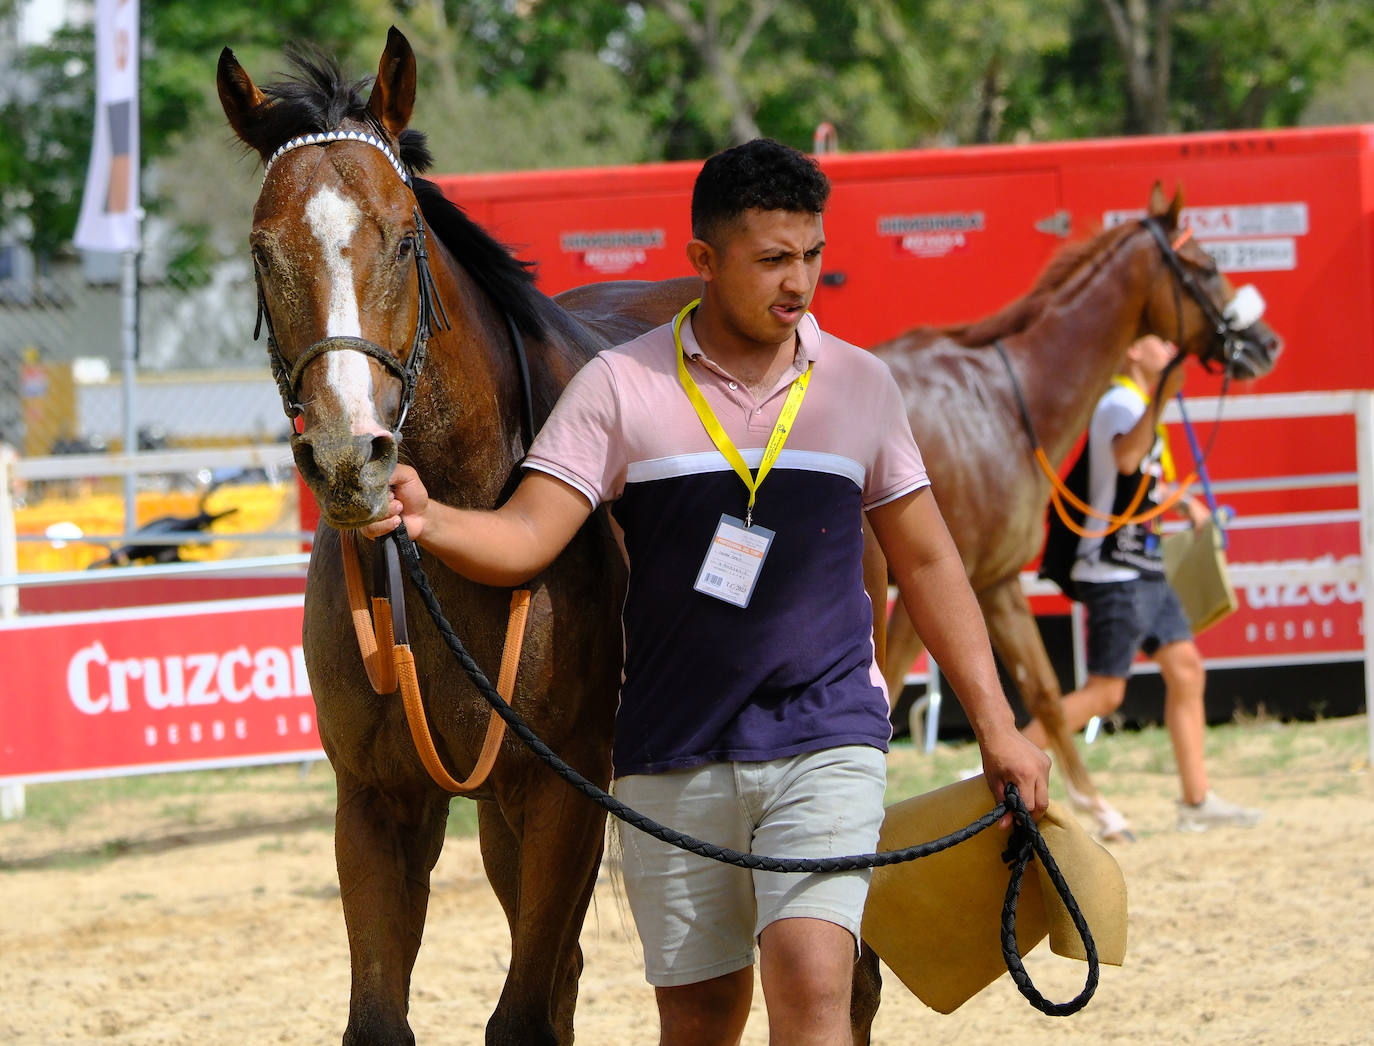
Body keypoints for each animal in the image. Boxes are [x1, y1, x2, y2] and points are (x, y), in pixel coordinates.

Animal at [217, 29, 703, 1045]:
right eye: (262, 252)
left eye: (404, 239)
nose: (347, 456)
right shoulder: (378, 801)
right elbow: (385, 1016)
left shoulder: (565, 791)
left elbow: (522, 1016)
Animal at [870, 184, 1282, 840]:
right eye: (1208, 267)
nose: (1266, 344)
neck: (993, 405)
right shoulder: (918, 594)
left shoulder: (994, 583)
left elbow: (1043, 690)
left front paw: (1097, 808)